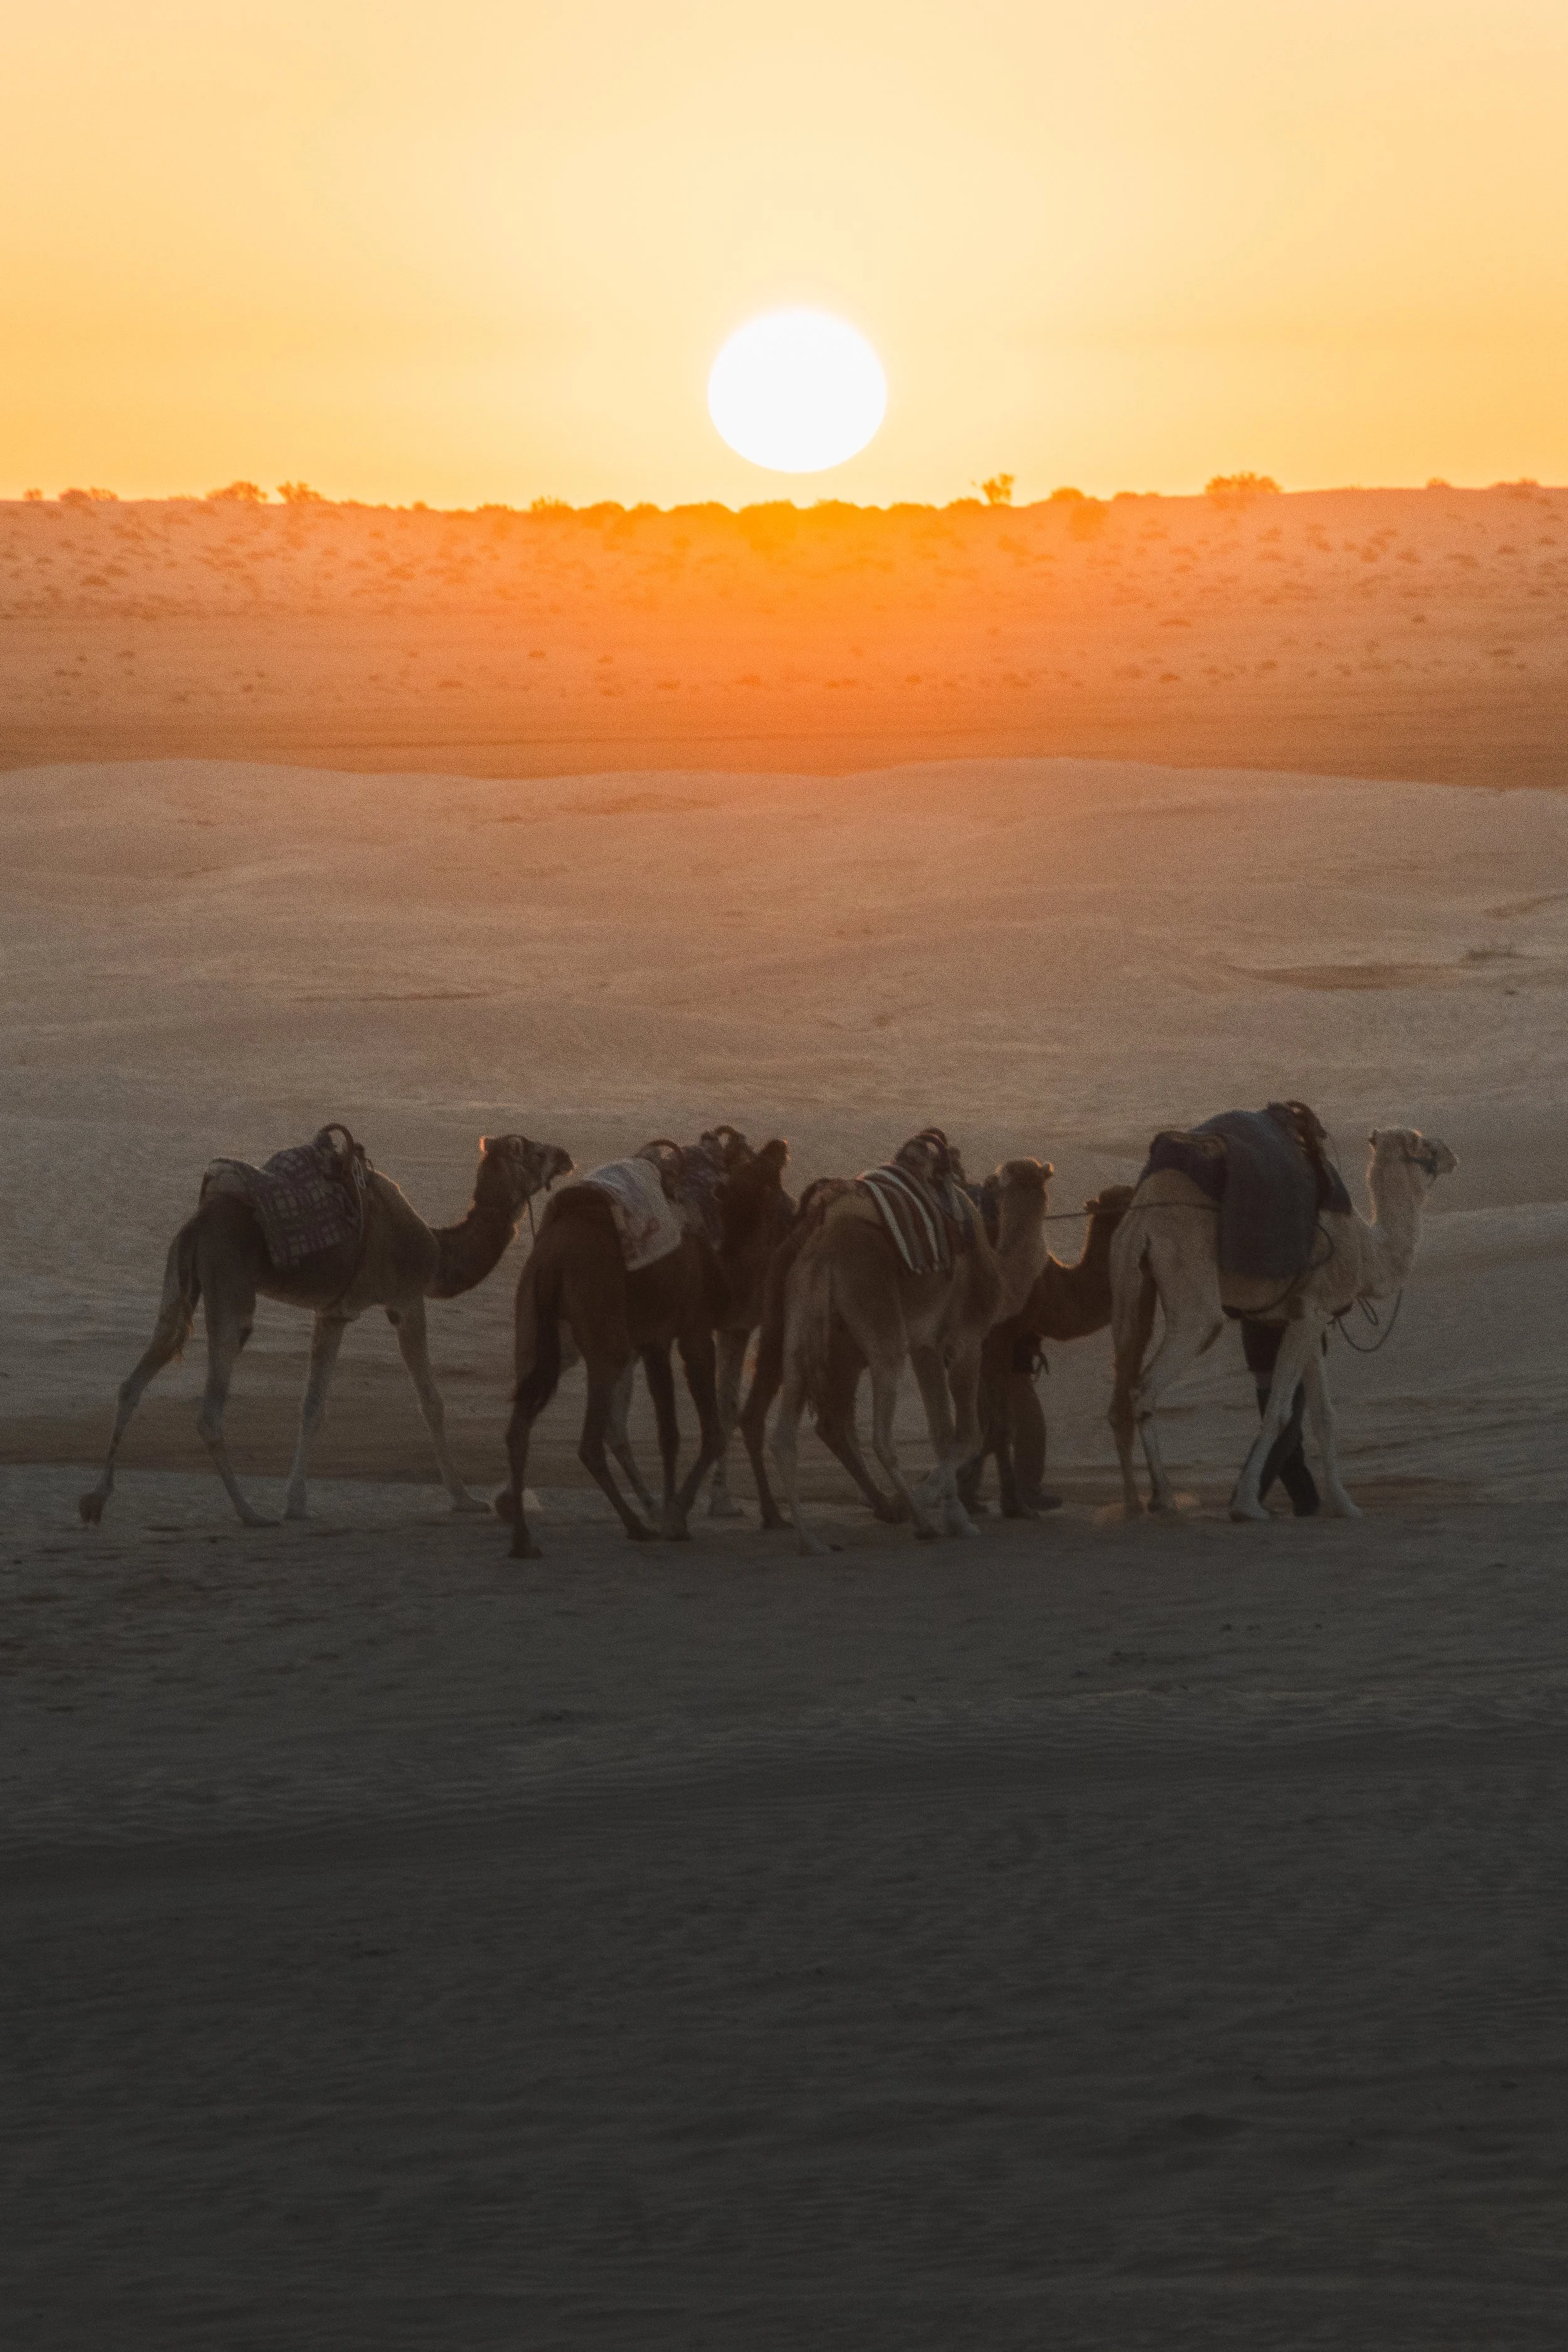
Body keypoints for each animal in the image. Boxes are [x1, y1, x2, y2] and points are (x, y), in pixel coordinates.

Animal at [79, 1131, 573, 1529]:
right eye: (532, 1148)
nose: (566, 1155)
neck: (438, 1251)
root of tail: (198, 1224)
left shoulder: (333, 1314)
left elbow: (312, 1406)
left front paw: (297, 1503)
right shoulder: (407, 1300)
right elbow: (431, 1402)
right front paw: (465, 1499)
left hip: (179, 1281)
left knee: (137, 1376)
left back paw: (96, 1500)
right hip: (231, 1287)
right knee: (210, 1408)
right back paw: (249, 1513)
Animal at [769, 1150, 1053, 1555]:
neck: (999, 1274)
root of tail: (822, 1252)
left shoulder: (925, 1348)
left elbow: (942, 1432)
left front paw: (955, 1517)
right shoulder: (966, 1340)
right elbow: (969, 1434)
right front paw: (939, 1511)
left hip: (802, 1325)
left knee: (785, 1434)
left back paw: (813, 1541)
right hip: (880, 1326)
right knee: (881, 1436)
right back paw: (919, 1523)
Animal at [959, 1183, 1134, 1518]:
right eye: (1126, 1199)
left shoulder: (991, 1343)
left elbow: (990, 1420)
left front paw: (973, 1498)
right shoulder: (998, 1335)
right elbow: (998, 1424)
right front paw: (1012, 1504)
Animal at [1108, 1127, 1456, 1521]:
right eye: (1425, 1145)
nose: (1451, 1154)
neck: (1367, 1250)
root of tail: (1143, 1223)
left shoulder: (1307, 1317)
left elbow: (1323, 1416)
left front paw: (1344, 1504)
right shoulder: (1311, 1312)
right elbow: (1278, 1413)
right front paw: (1247, 1505)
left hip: (1129, 1281)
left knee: (1120, 1392)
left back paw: (1133, 1504)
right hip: (1194, 1295)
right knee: (1147, 1386)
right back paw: (1164, 1499)